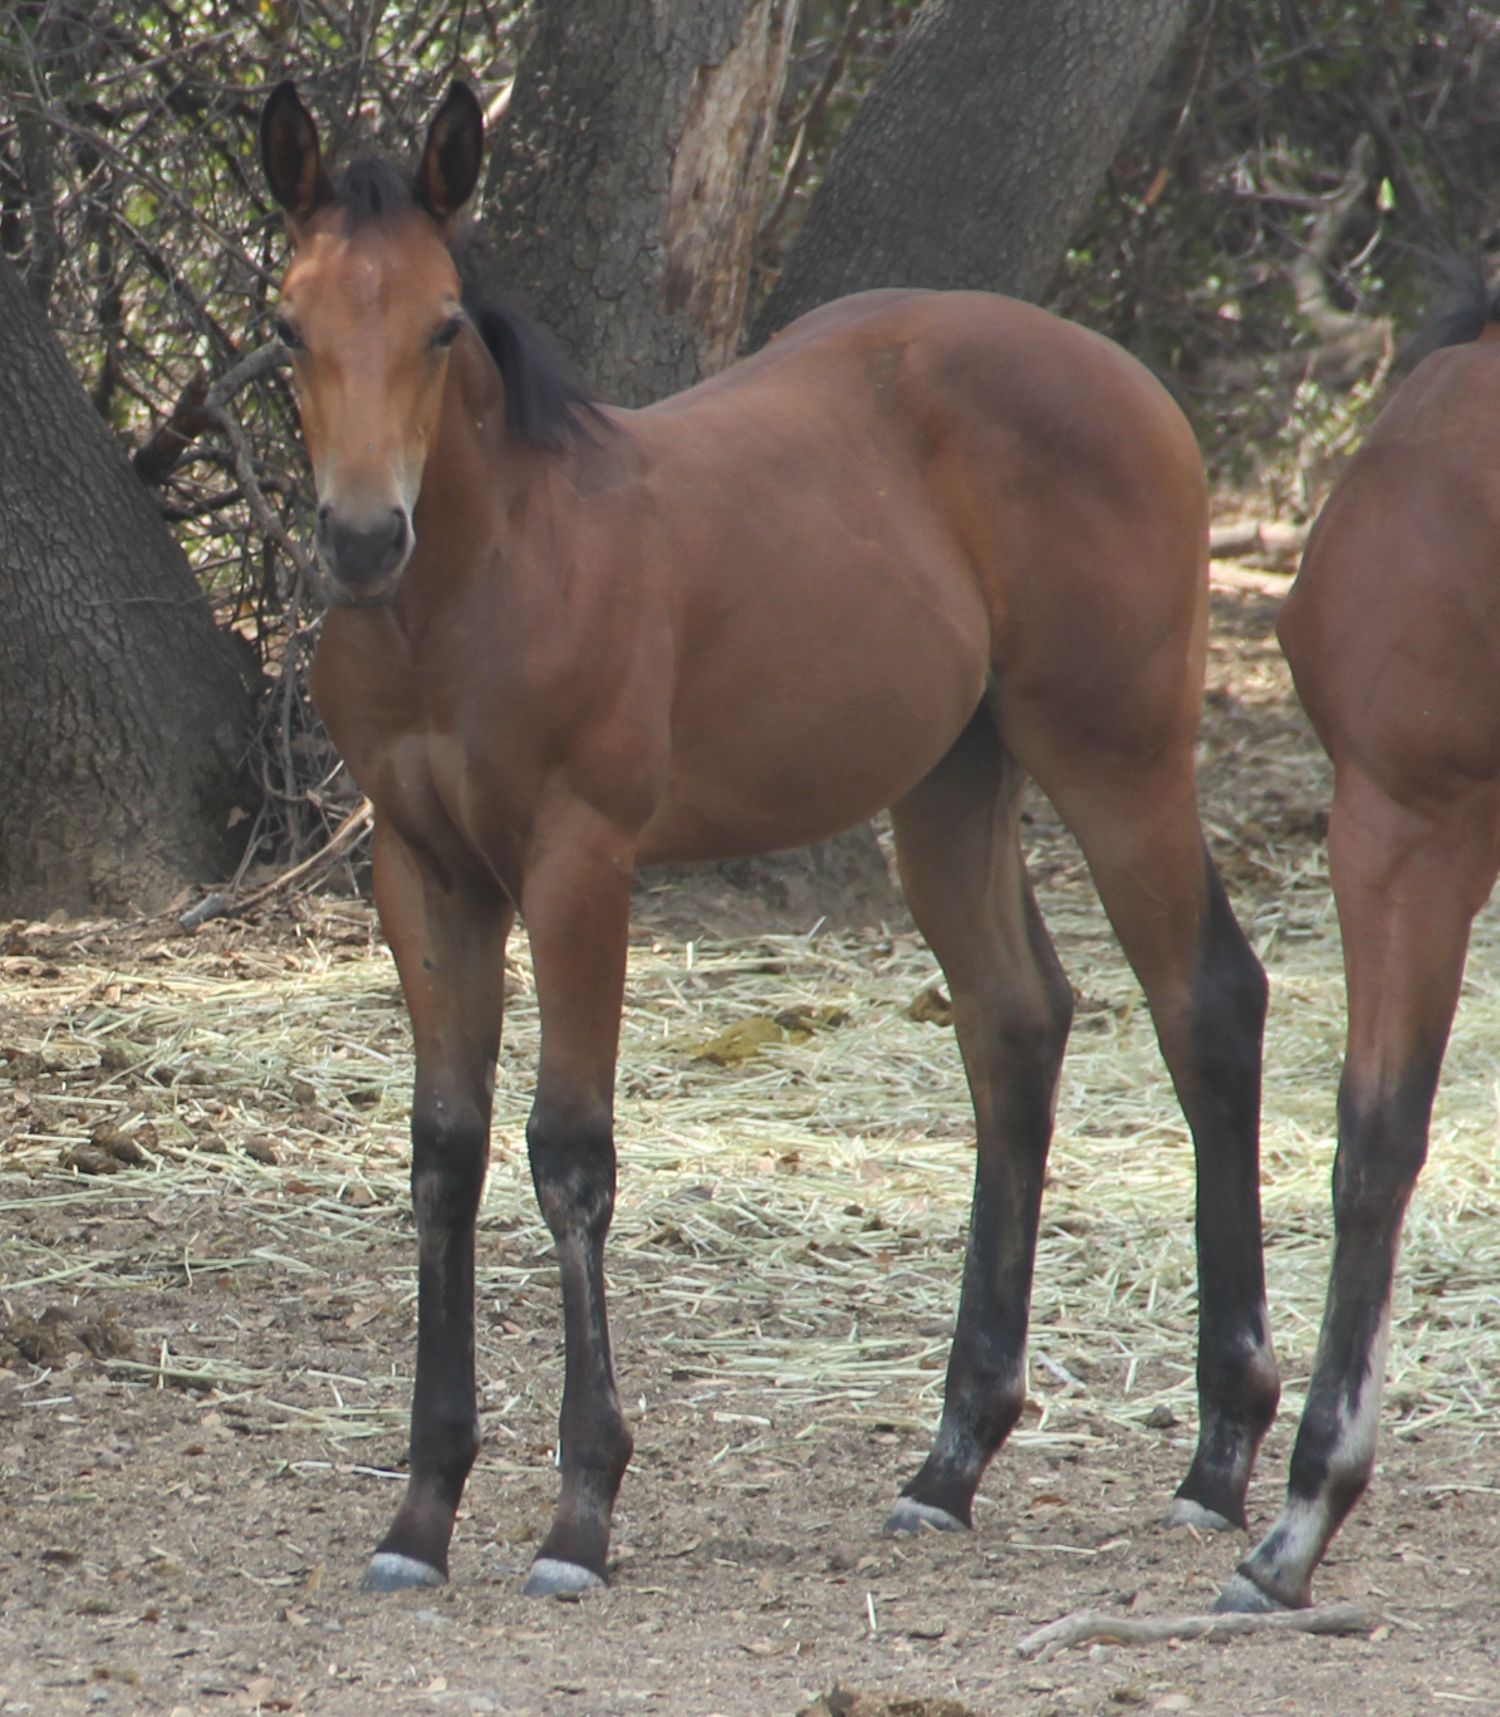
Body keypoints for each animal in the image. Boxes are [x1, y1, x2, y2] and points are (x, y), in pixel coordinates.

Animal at [259, 80, 1278, 1598]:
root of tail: (1133, 380)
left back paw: (1219, 1457)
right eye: (288, 325)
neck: (478, 590)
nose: (365, 536)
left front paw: (580, 1515)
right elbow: (444, 1156)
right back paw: (949, 1463)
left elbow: (569, 1156)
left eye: (443, 324)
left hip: (1120, 755)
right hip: (952, 780)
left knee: (1206, 1004)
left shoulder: (579, 863)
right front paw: (420, 1514)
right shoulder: (422, 872)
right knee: (1014, 1023)